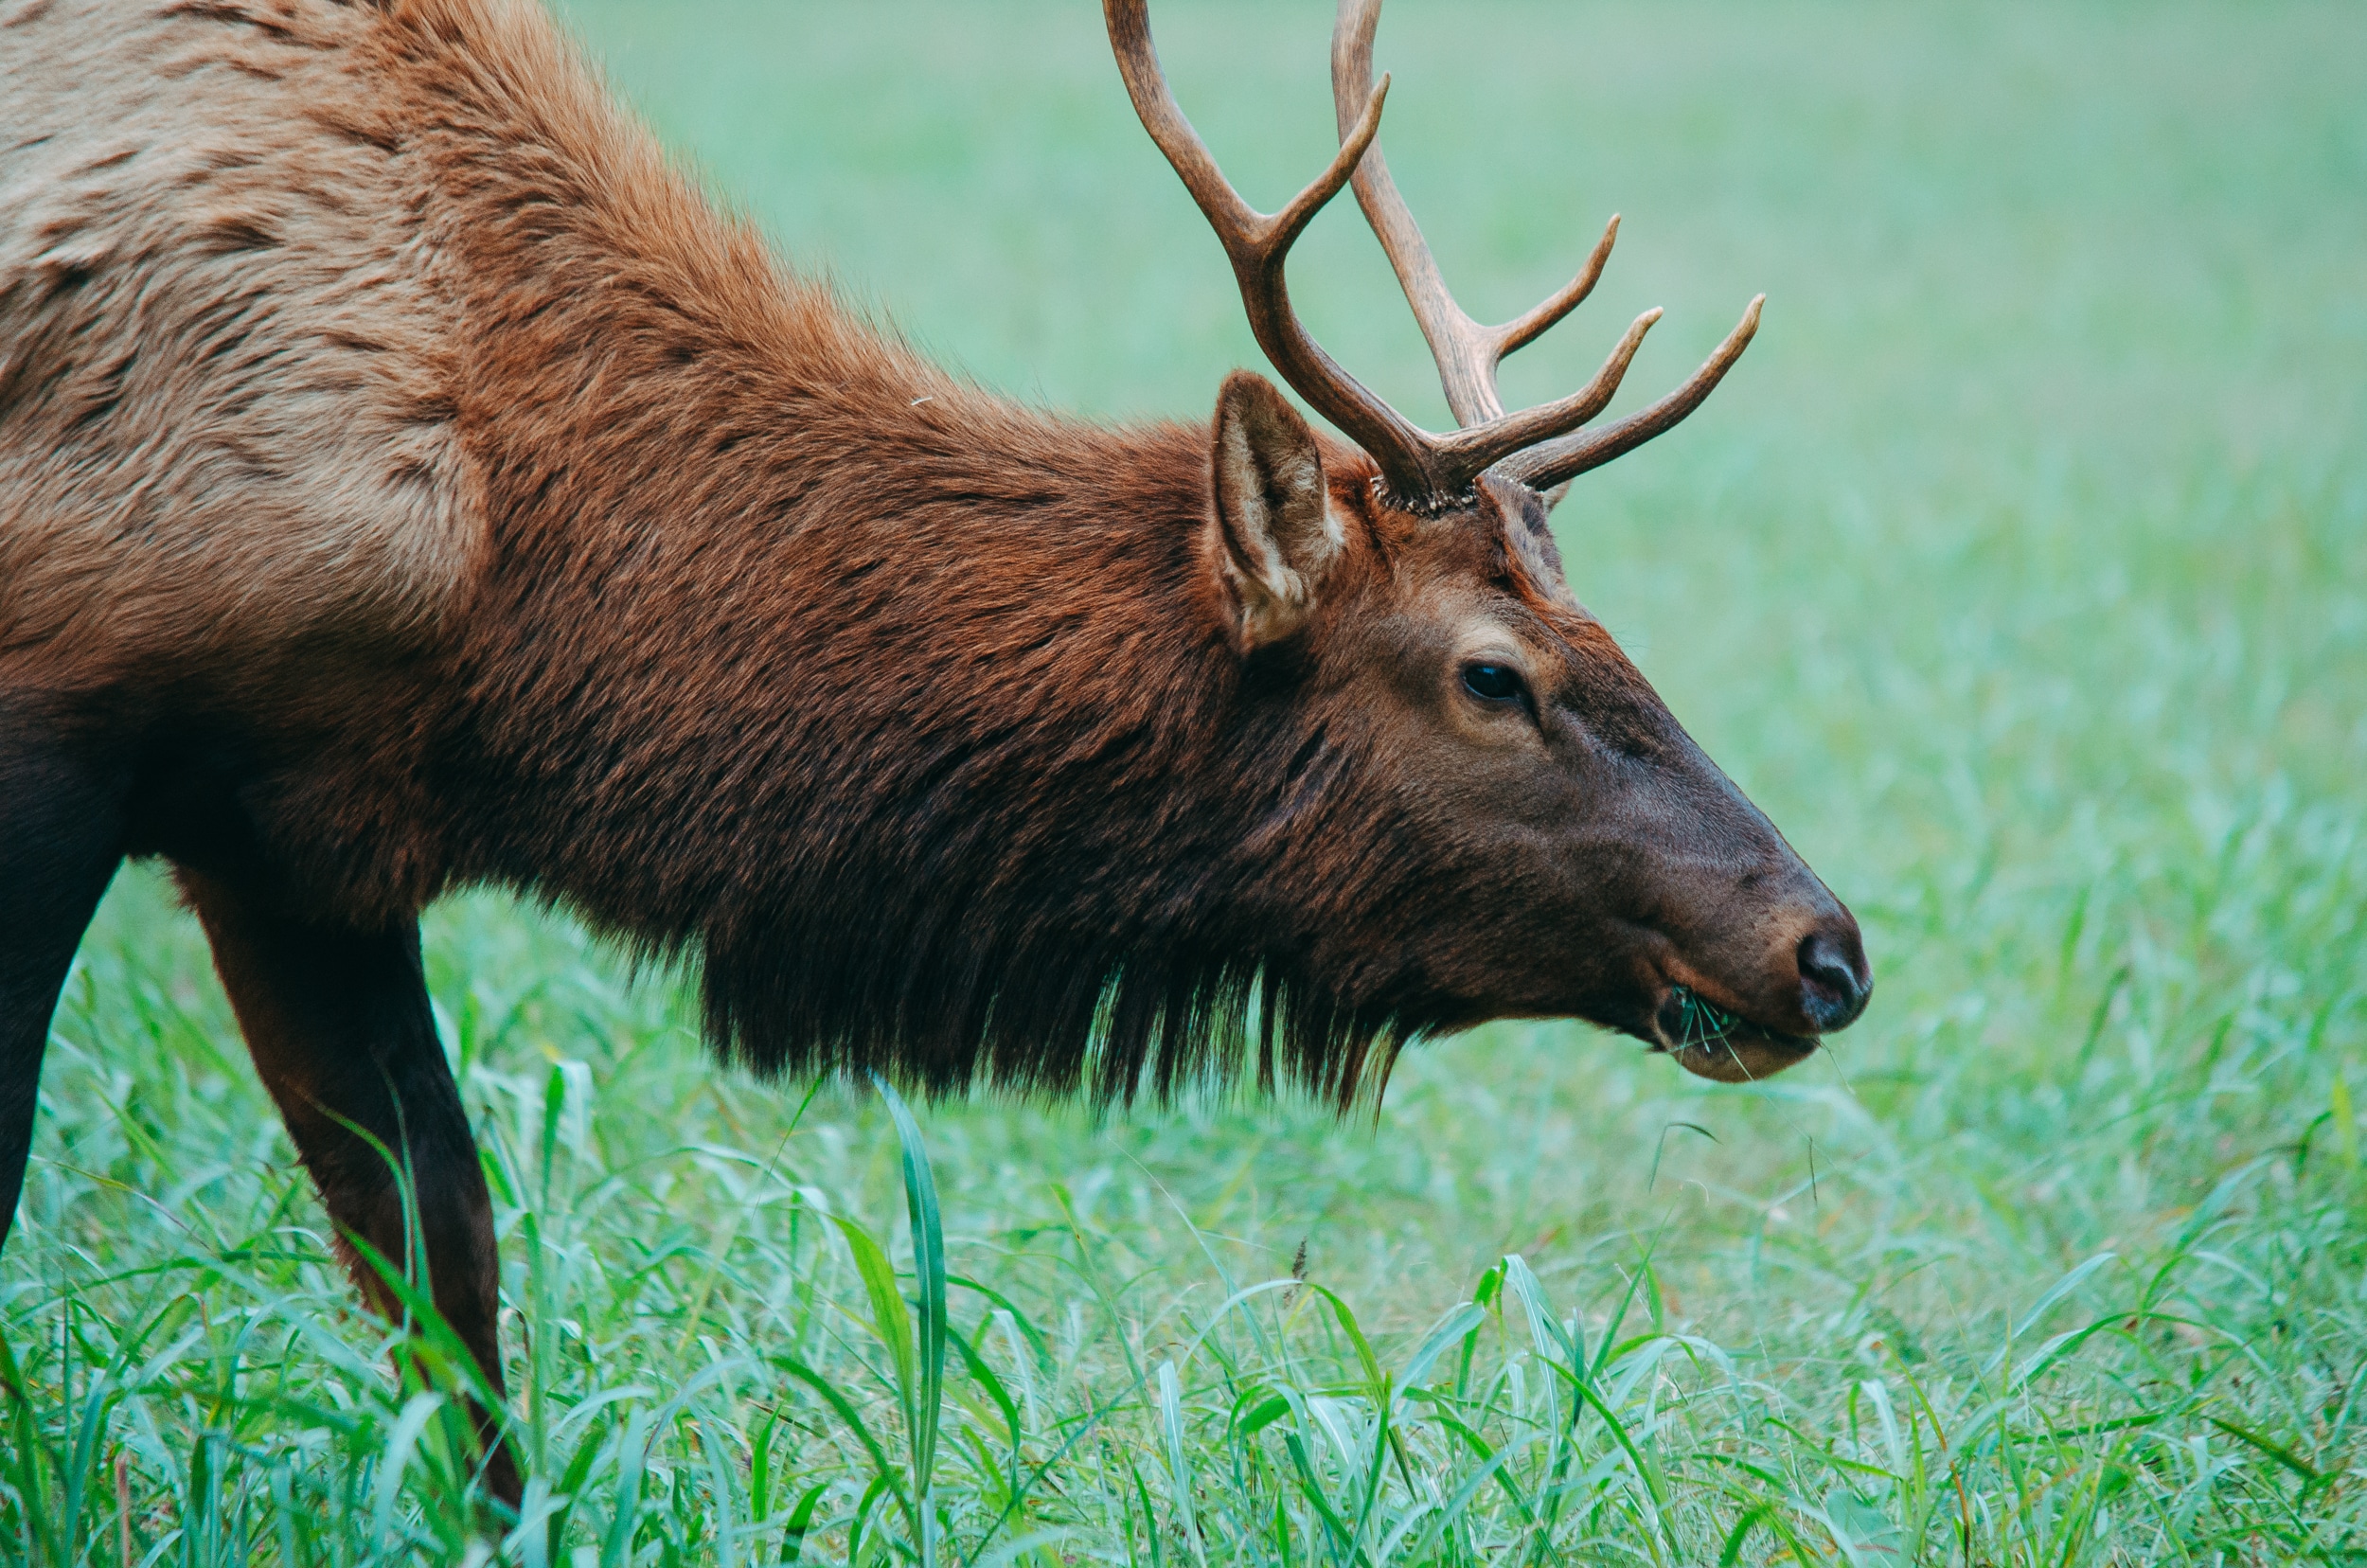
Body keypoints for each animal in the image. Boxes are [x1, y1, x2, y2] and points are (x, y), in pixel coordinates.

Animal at [0, 0, 1865, 1515]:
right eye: (1494, 673)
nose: (1827, 948)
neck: (504, 604)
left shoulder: (294, 829)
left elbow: (439, 1256)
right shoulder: (76, 714)